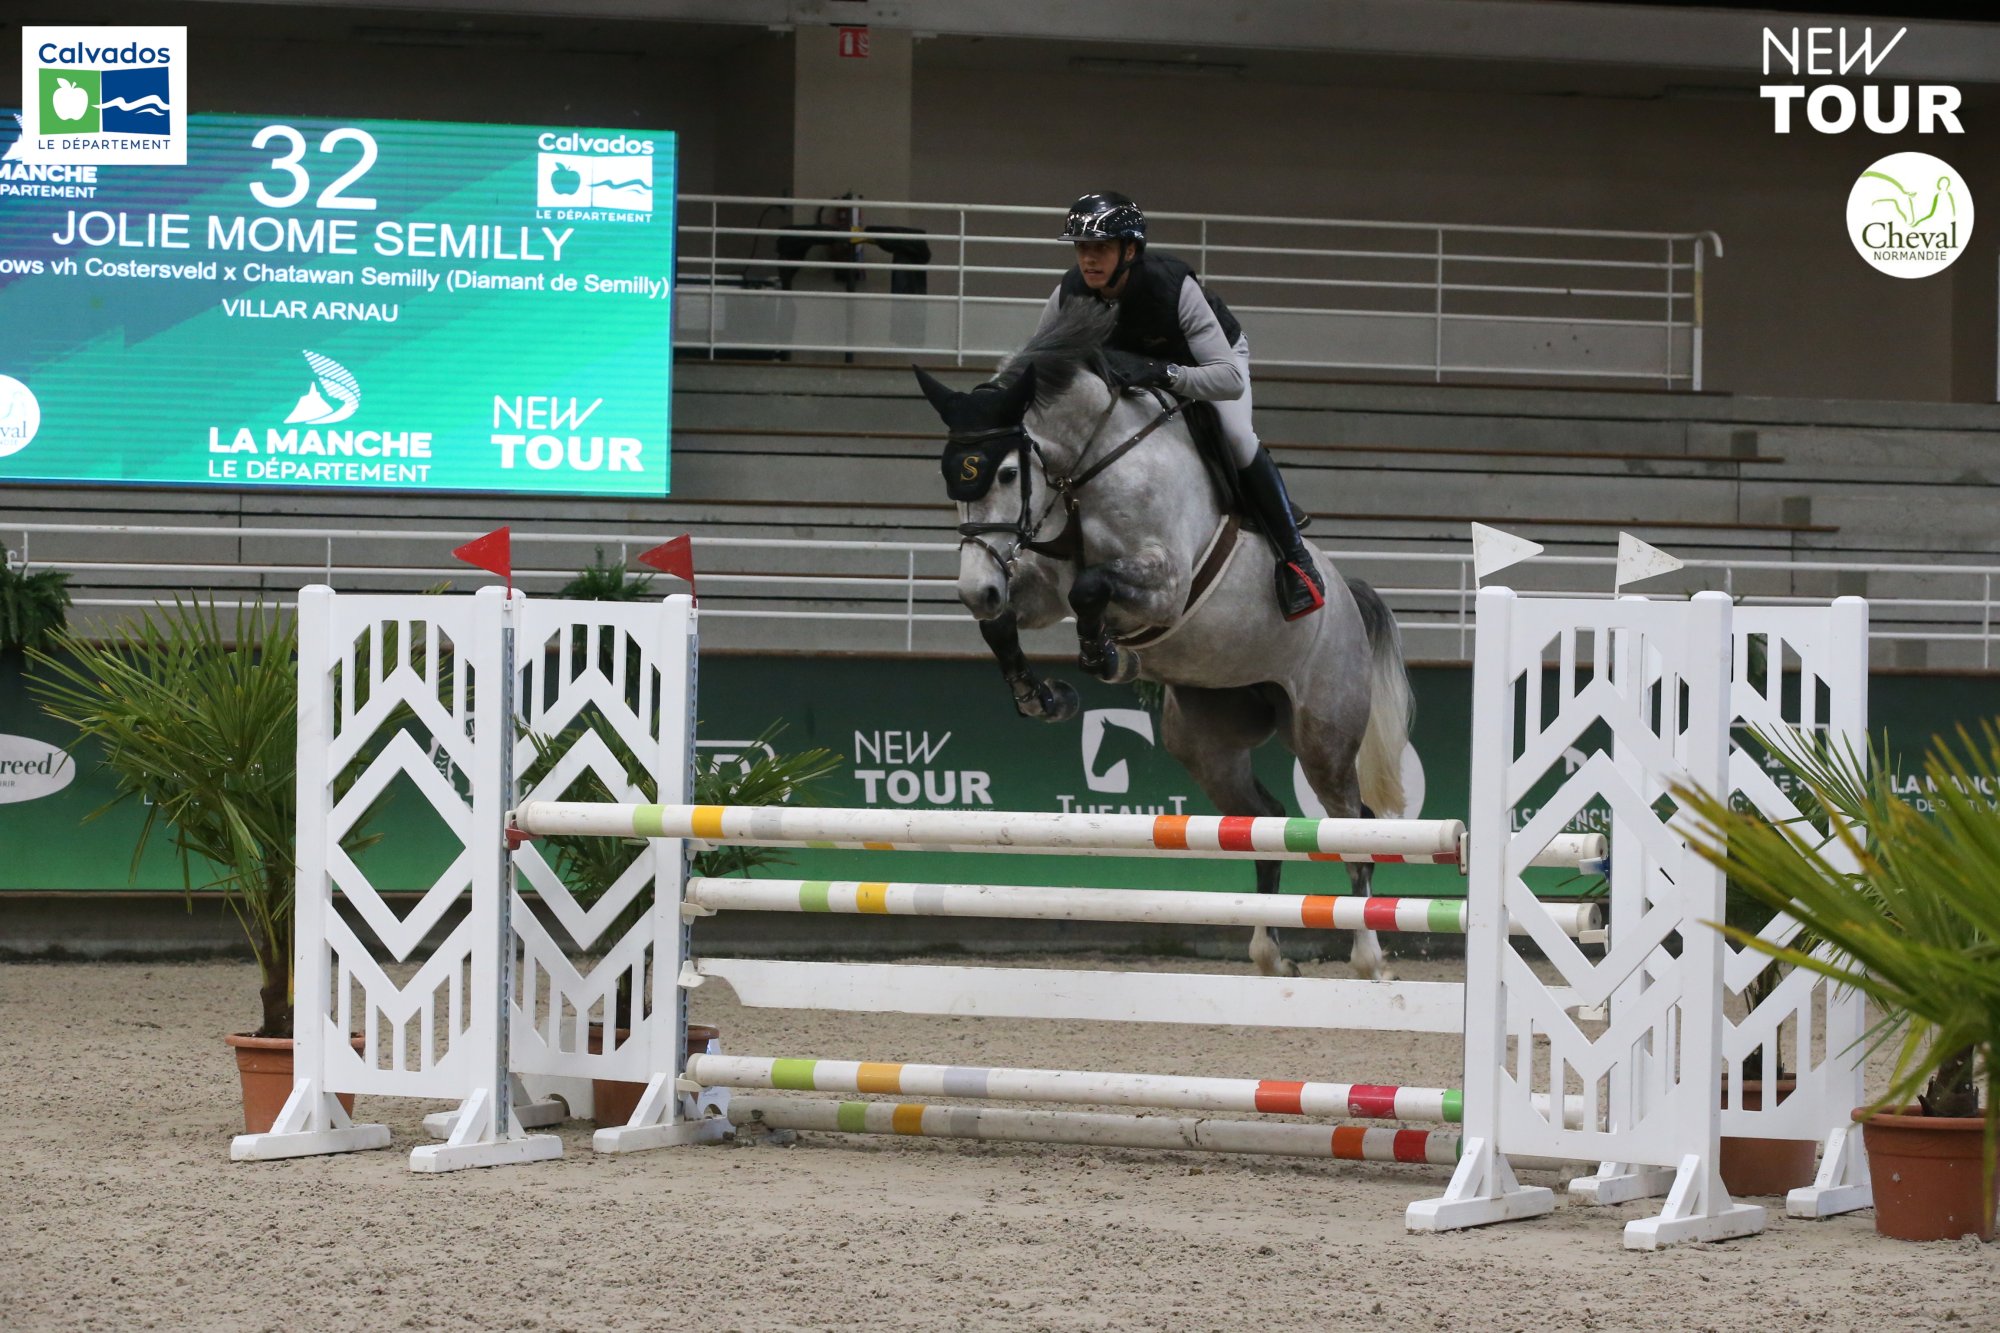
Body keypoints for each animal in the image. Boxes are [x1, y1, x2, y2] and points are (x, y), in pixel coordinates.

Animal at [913, 303, 1413, 980]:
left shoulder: (1167, 582)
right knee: (1266, 821)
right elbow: (1016, 617)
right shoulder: (1040, 586)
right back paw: (1270, 954)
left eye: (1009, 473)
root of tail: (1348, 600)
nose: (976, 588)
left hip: (1323, 734)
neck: (1090, 464)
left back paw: (1368, 957)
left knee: (1352, 826)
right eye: (950, 480)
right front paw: (1043, 695)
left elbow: (1092, 588)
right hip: (1206, 740)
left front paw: (1105, 656)